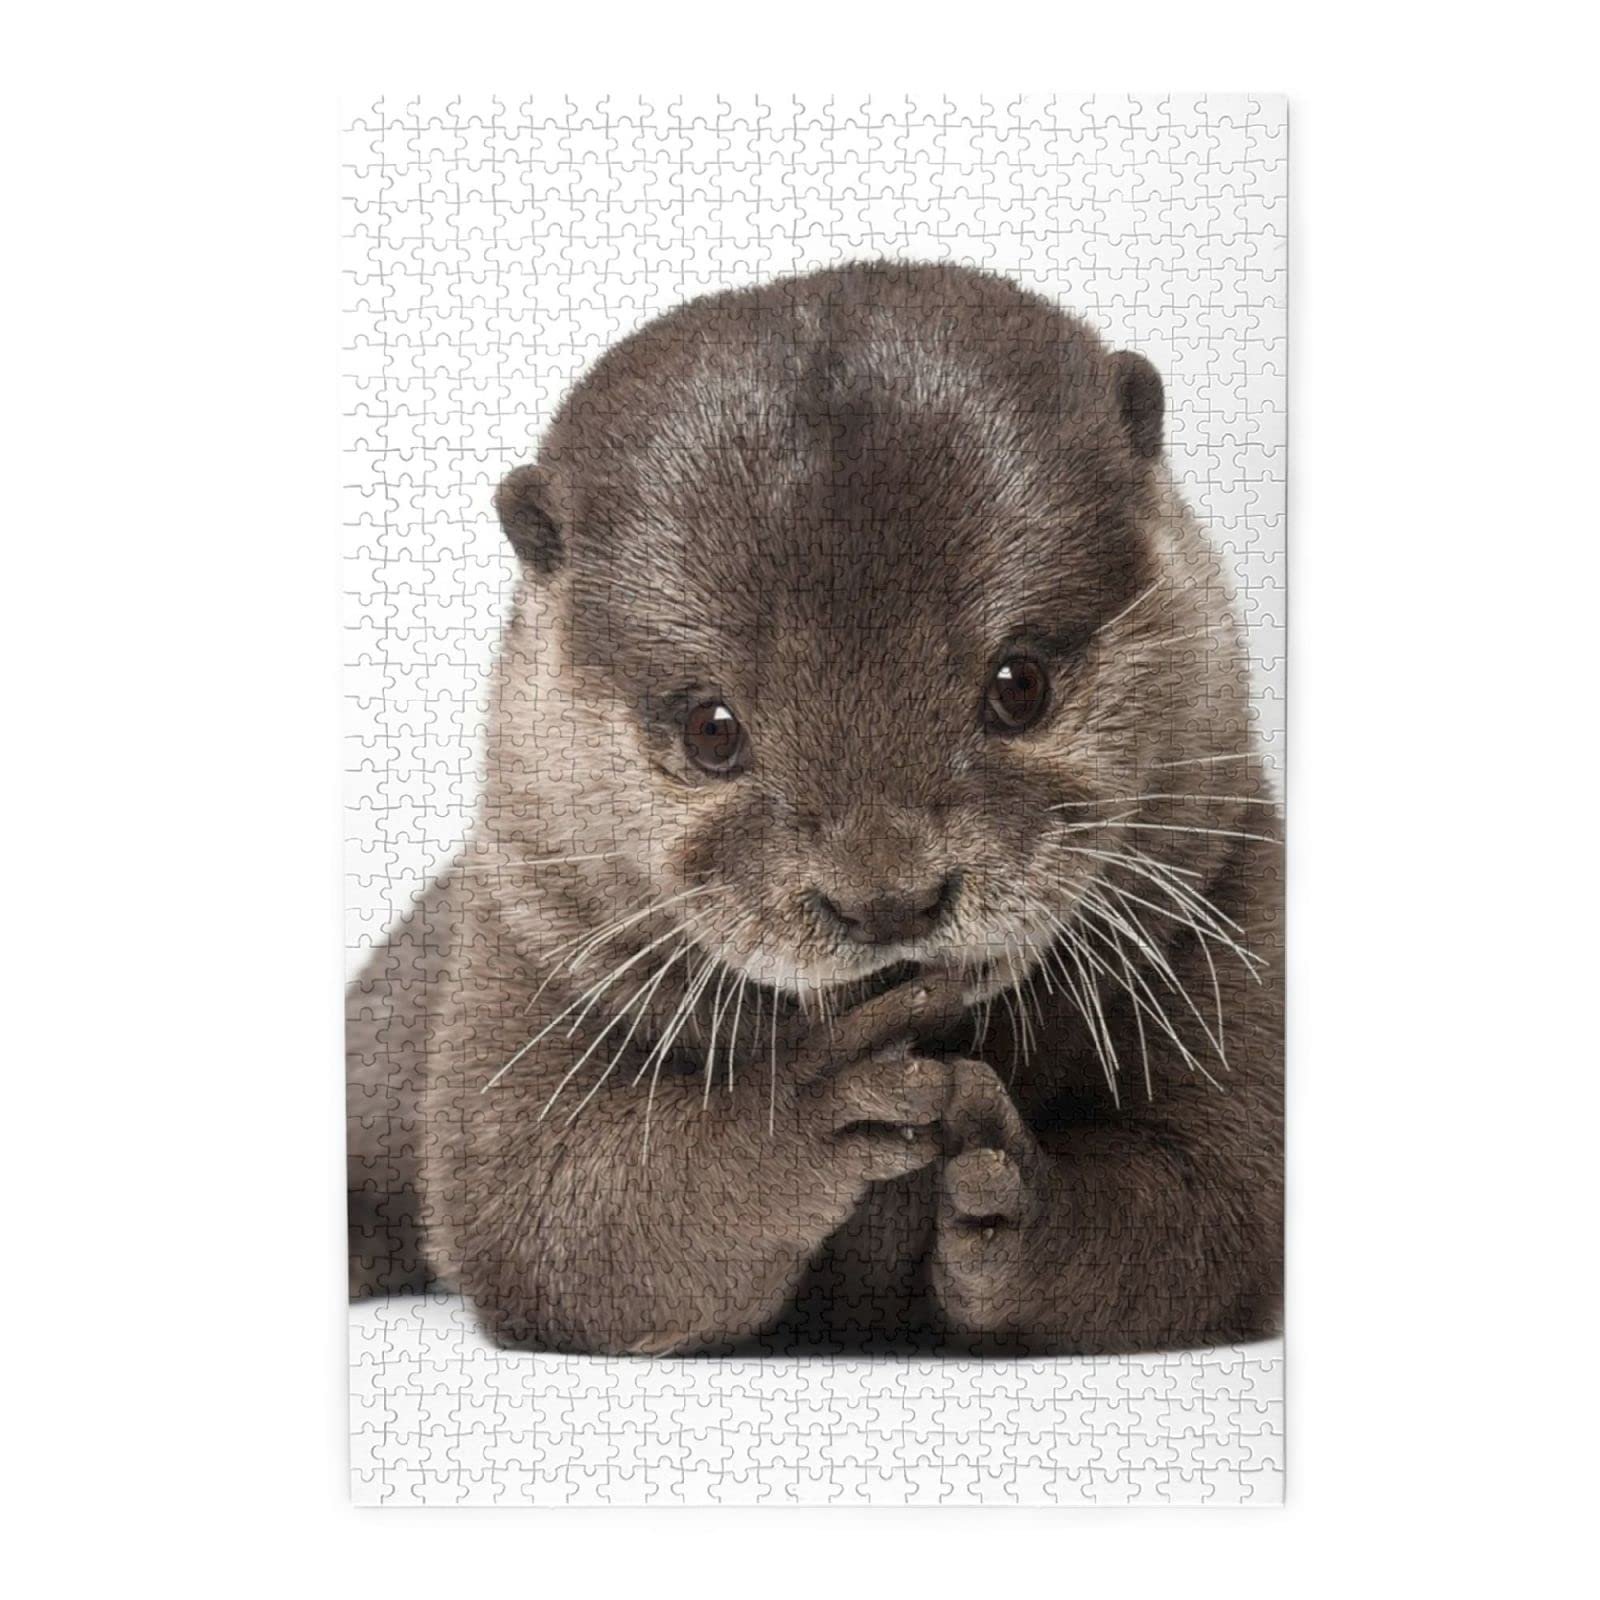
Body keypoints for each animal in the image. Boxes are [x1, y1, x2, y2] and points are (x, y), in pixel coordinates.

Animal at [347, 260, 1283, 1356]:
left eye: (1019, 683)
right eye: (712, 727)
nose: (886, 900)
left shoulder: (1232, 902)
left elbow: (1218, 1199)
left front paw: (1012, 1191)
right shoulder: (524, 950)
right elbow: (549, 1212)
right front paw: (812, 1102)